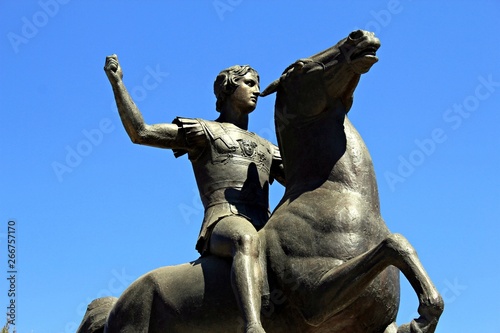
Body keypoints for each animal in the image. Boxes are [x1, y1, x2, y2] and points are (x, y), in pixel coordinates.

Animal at [77, 29, 442, 332]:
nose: (360, 36)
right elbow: (391, 244)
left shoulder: (375, 327)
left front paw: (424, 316)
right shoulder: (315, 300)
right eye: (297, 67)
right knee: (244, 245)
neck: (344, 201)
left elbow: (399, 244)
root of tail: (116, 305)